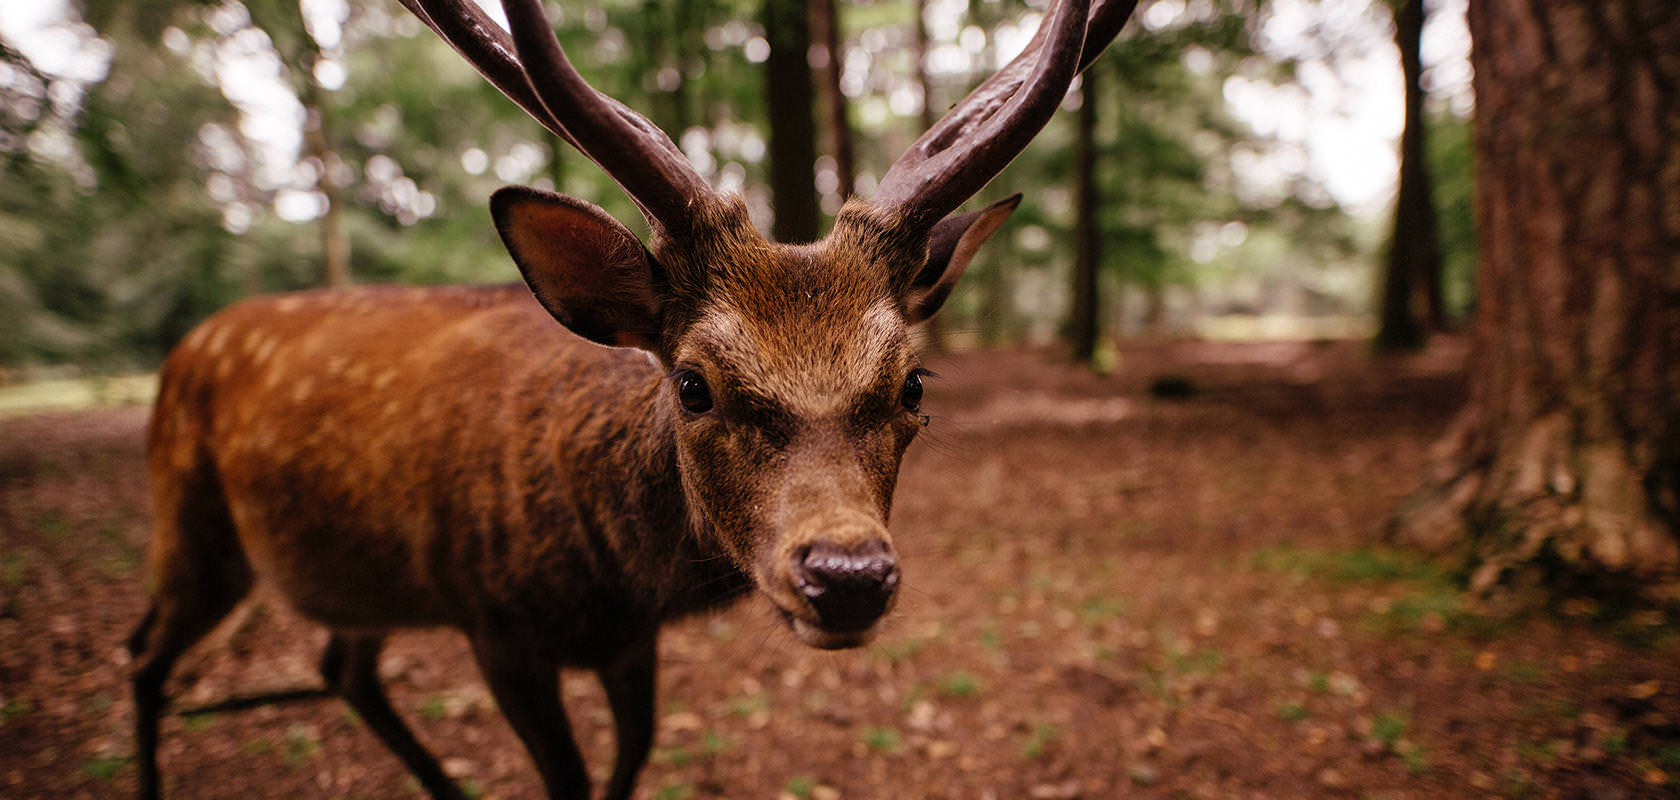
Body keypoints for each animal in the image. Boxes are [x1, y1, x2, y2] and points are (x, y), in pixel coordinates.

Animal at [124, 0, 1135, 796]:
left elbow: (632, 758)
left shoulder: (628, 643)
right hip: (190, 522)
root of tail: (184, 349)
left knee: (339, 666)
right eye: (692, 384)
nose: (847, 575)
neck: (604, 578)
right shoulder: (495, 627)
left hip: (353, 576)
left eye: (913, 383)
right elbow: (571, 780)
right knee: (143, 653)